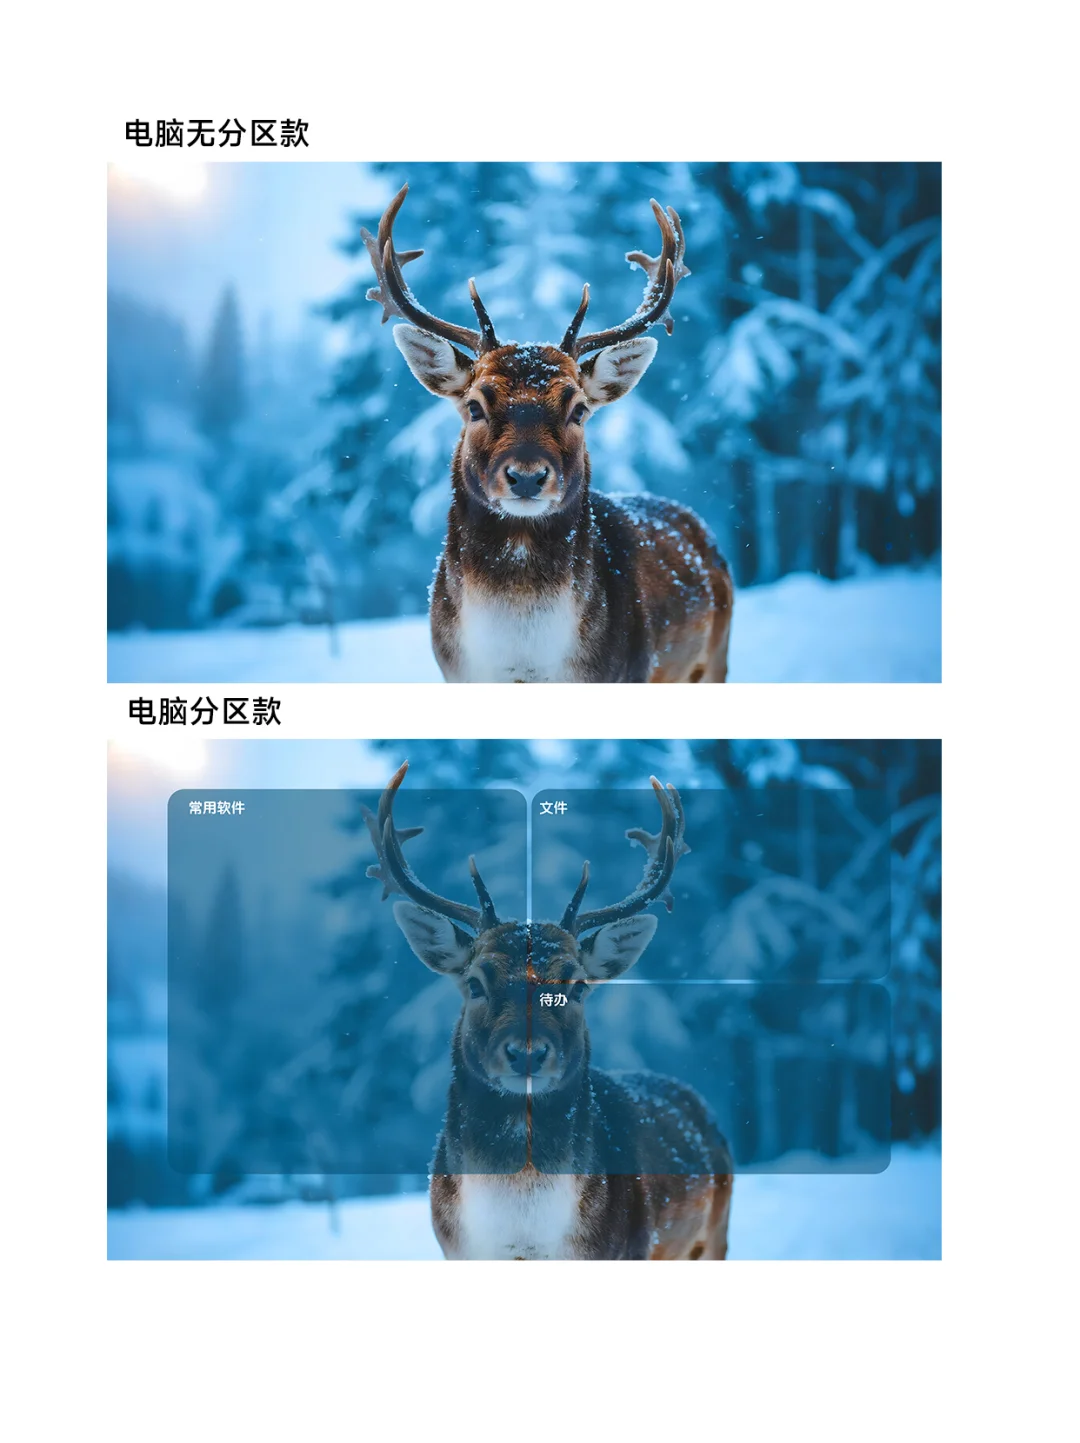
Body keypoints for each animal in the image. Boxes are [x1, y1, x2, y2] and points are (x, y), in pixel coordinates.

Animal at [362, 762, 734, 1260]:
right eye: (475, 983)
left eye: (576, 986)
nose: (527, 1052)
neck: (524, 1240)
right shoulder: (453, 1250)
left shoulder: (630, 1248)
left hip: (715, 1233)